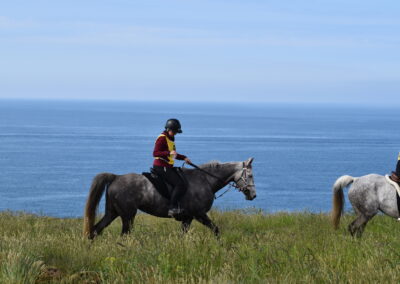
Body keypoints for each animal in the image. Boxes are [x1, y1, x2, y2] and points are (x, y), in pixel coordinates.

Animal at [83, 159, 256, 239]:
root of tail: (116, 177)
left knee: (95, 230)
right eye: (250, 175)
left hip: (112, 212)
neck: (205, 180)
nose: (253, 195)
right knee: (124, 234)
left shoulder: (188, 218)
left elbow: (183, 235)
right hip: (128, 215)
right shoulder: (199, 214)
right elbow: (216, 229)